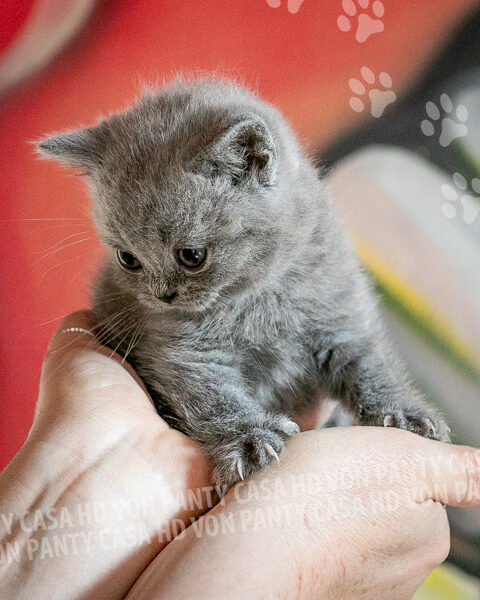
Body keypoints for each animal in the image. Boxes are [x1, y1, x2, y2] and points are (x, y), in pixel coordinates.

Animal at [37, 76, 450, 487]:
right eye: (128, 259)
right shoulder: (184, 352)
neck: (258, 297)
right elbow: (214, 395)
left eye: (192, 256)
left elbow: (370, 367)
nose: (163, 296)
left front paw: (404, 413)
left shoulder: (340, 314)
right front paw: (249, 439)